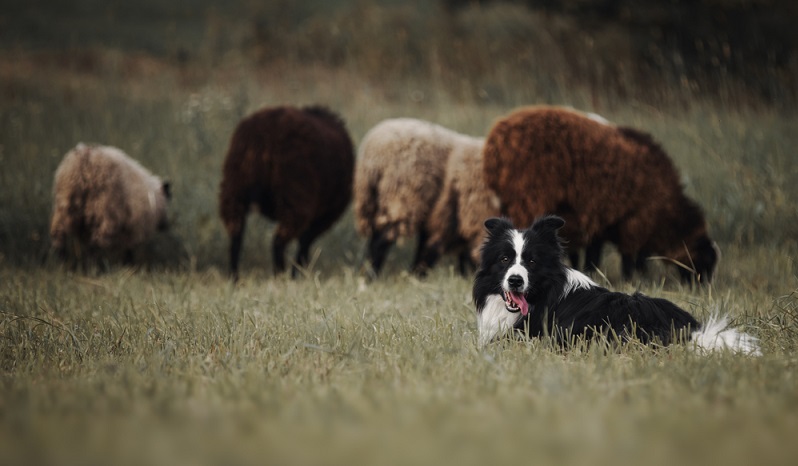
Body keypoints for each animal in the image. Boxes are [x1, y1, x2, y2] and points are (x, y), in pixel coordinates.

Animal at [220, 105, 354, 280]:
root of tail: (263, 138)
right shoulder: (326, 215)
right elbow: (305, 242)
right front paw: (299, 273)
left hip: (234, 191)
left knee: (236, 238)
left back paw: (234, 278)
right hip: (295, 197)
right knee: (278, 241)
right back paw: (281, 276)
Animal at [484, 106, 720, 284]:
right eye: (704, 260)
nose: (701, 289)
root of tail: (497, 140)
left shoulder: (598, 219)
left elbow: (592, 253)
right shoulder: (634, 219)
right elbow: (631, 256)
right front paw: (633, 279)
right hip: (529, 198)